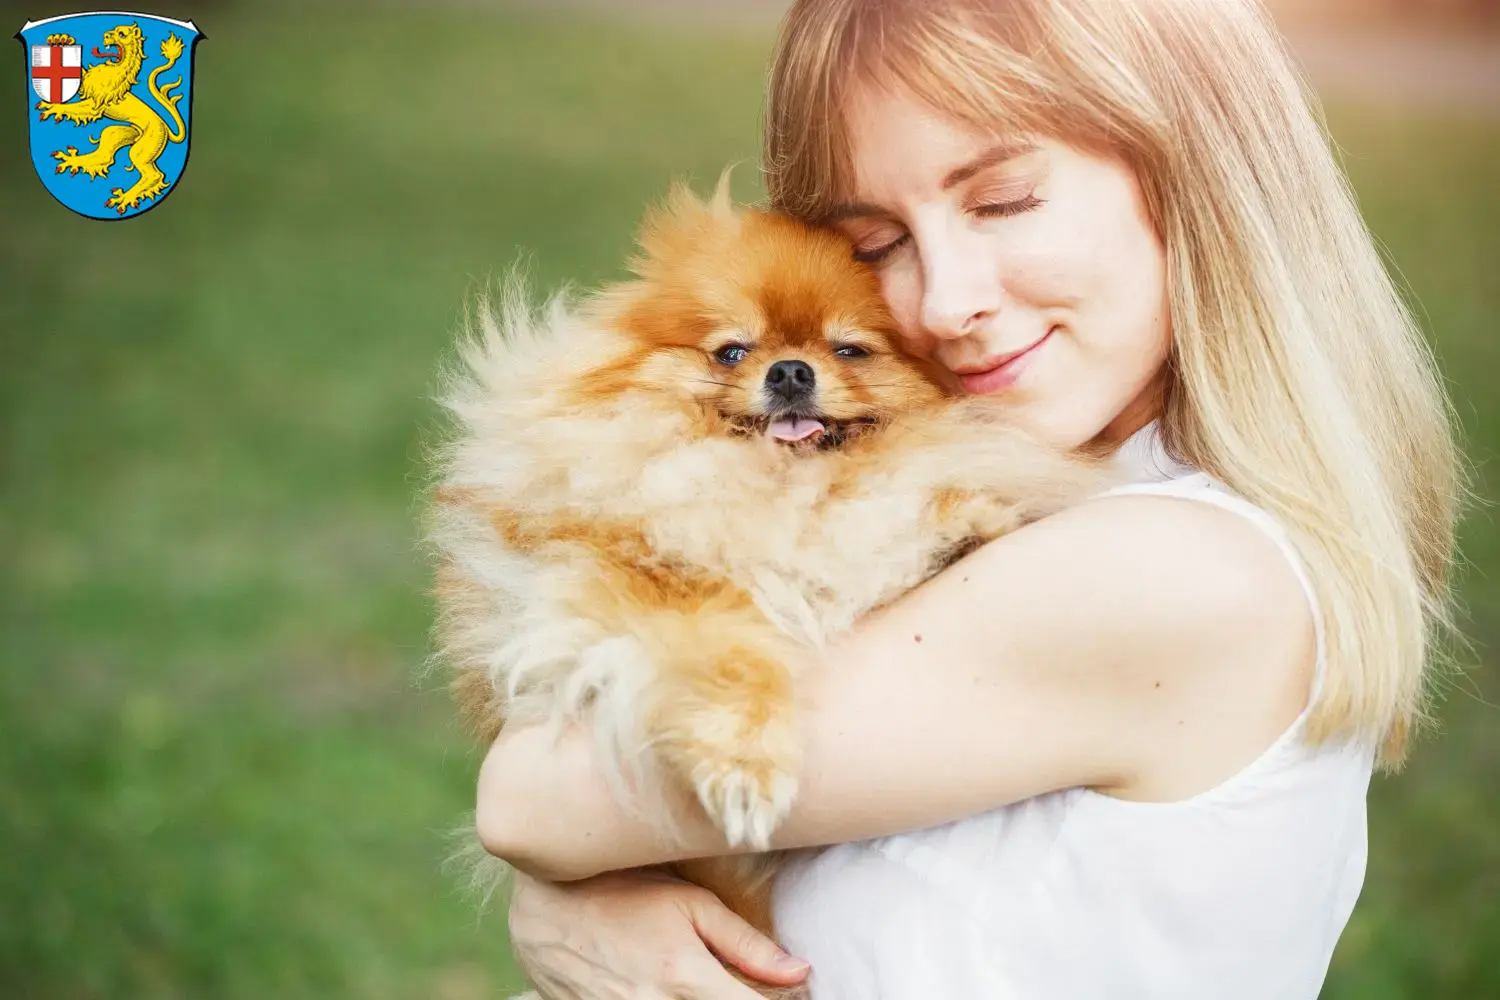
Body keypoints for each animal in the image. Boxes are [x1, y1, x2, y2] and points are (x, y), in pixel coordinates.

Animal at [36, 24, 187, 214]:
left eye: (122, 34)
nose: (106, 35)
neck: (112, 71)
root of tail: (165, 128)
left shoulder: (94, 106)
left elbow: (73, 107)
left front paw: (55, 107)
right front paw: (61, 40)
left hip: (141, 149)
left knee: (153, 174)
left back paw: (125, 197)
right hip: (117, 132)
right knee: (105, 155)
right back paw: (72, 160)